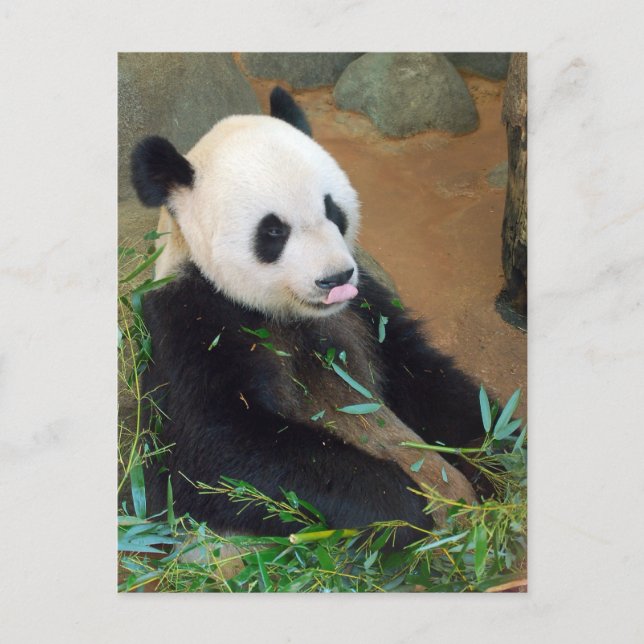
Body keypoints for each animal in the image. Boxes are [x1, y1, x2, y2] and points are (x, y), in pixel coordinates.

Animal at [130, 87, 483, 545]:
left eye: (333, 209)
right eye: (273, 231)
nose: (336, 279)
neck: (288, 314)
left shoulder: (365, 309)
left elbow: (426, 377)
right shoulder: (190, 320)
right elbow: (213, 450)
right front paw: (403, 508)